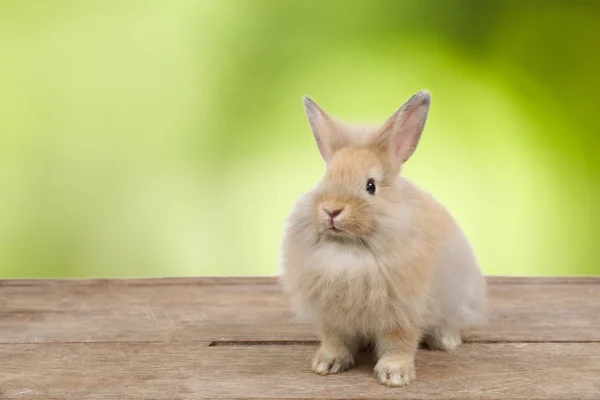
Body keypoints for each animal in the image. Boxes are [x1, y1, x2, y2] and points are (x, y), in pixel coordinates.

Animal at [278, 90, 486, 388]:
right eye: (324, 180)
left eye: (370, 186)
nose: (331, 210)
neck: (351, 250)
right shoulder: (332, 317)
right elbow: (335, 341)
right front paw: (325, 364)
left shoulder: (403, 314)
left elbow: (398, 345)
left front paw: (394, 376)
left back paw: (446, 342)